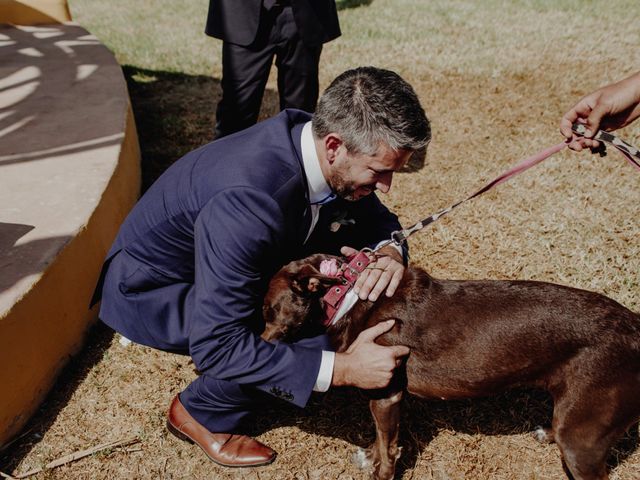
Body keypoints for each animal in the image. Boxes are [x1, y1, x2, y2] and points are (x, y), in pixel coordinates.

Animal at [260, 253, 640, 478]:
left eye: (267, 310)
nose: (257, 343)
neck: (349, 295)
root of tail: (635, 326)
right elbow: (381, 441)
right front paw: (369, 455)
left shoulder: (385, 394)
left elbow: (388, 448)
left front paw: (380, 468)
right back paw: (546, 432)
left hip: (581, 442)